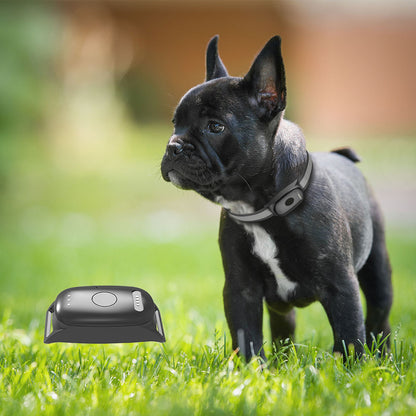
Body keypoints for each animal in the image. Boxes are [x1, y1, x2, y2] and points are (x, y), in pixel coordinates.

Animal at [161, 36, 392, 360]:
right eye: (174, 124)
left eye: (215, 126)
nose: (174, 146)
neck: (263, 209)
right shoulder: (241, 289)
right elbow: (247, 336)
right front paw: (251, 370)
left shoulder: (340, 286)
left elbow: (349, 336)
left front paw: (353, 368)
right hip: (281, 307)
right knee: (284, 326)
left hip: (377, 270)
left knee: (378, 316)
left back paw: (382, 356)